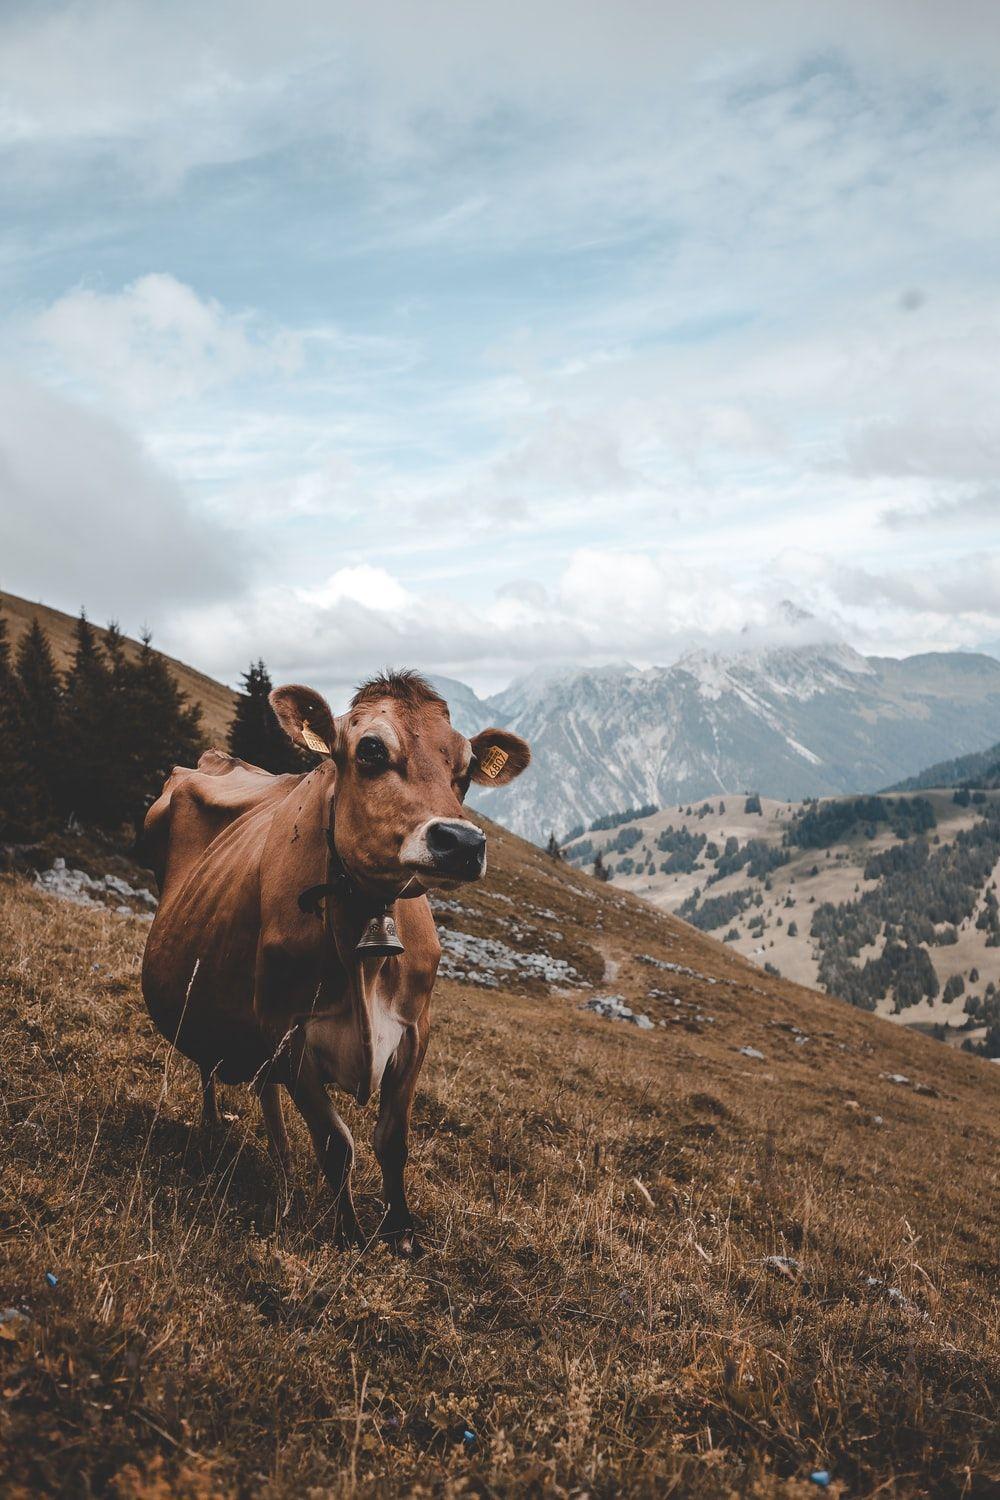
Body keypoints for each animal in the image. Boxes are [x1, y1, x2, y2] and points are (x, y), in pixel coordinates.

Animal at [141, 670, 530, 1255]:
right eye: (369, 750)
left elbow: (392, 1140)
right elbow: (335, 1143)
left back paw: (281, 1164)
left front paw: (401, 1234)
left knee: (263, 1089)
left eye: (464, 771)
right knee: (211, 1067)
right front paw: (347, 1232)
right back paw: (215, 1131)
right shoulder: (287, 1031)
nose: (462, 841)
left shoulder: (415, 1030)